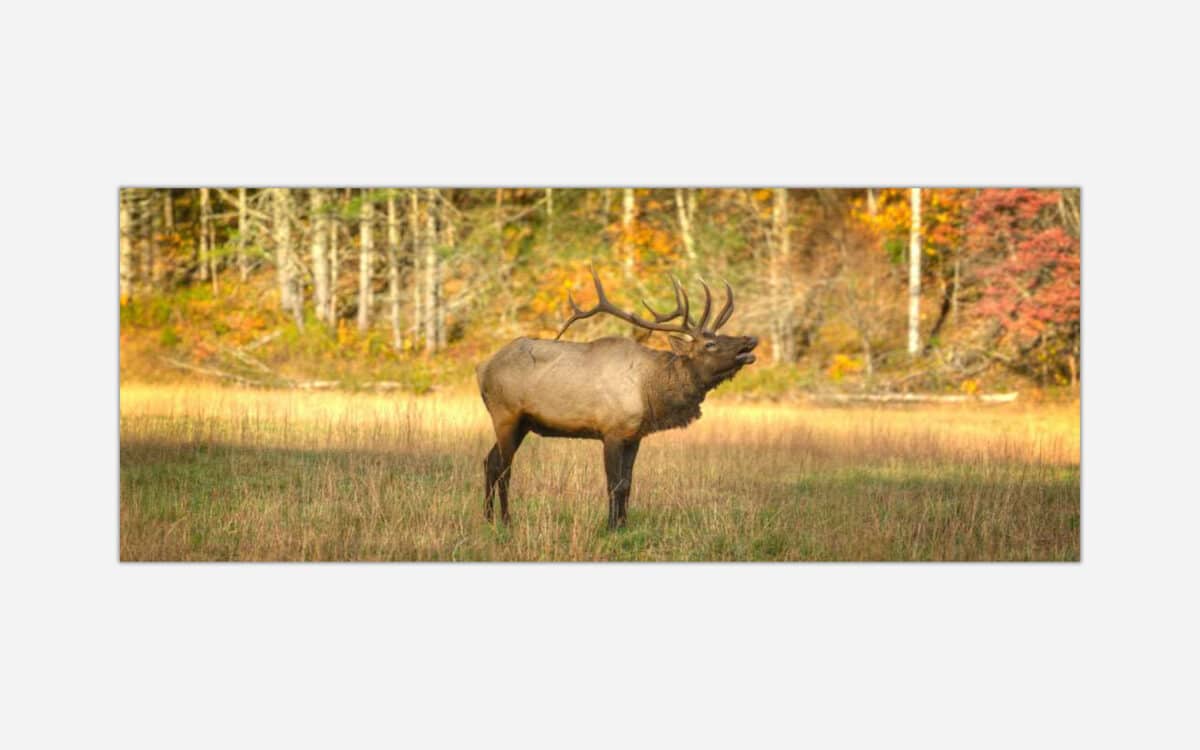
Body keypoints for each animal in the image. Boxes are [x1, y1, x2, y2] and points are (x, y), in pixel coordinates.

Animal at [475, 267, 758, 529]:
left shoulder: (634, 436)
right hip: (505, 415)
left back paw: (487, 518)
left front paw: (623, 523)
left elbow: (627, 483)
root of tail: (481, 368)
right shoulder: (611, 431)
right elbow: (614, 483)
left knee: (490, 461)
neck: (649, 390)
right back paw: (506, 520)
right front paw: (611, 525)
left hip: (522, 423)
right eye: (710, 344)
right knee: (504, 468)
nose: (751, 339)